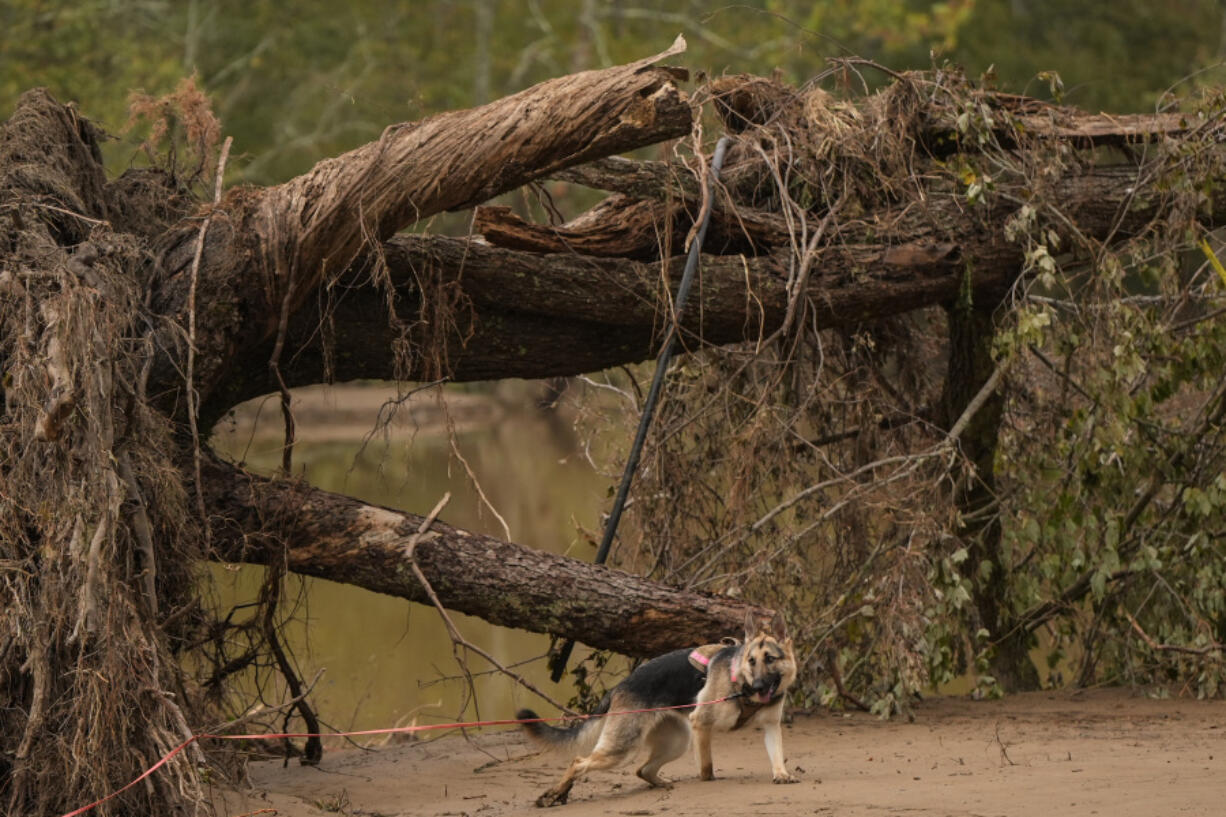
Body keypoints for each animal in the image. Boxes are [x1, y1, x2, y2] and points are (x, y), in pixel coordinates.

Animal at [514, 613, 794, 804]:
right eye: (751, 661)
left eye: (770, 659)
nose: (758, 686)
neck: (742, 684)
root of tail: (619, 686)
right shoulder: (701, 725)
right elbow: (706, 767)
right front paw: (708, 780)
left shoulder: (771, 727)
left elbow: (777, 754)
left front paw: (781, 774)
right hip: (623, 749)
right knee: (578, 761)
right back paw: (555, 794)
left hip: (676, 742)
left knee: (642, 769)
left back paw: (663, 784)